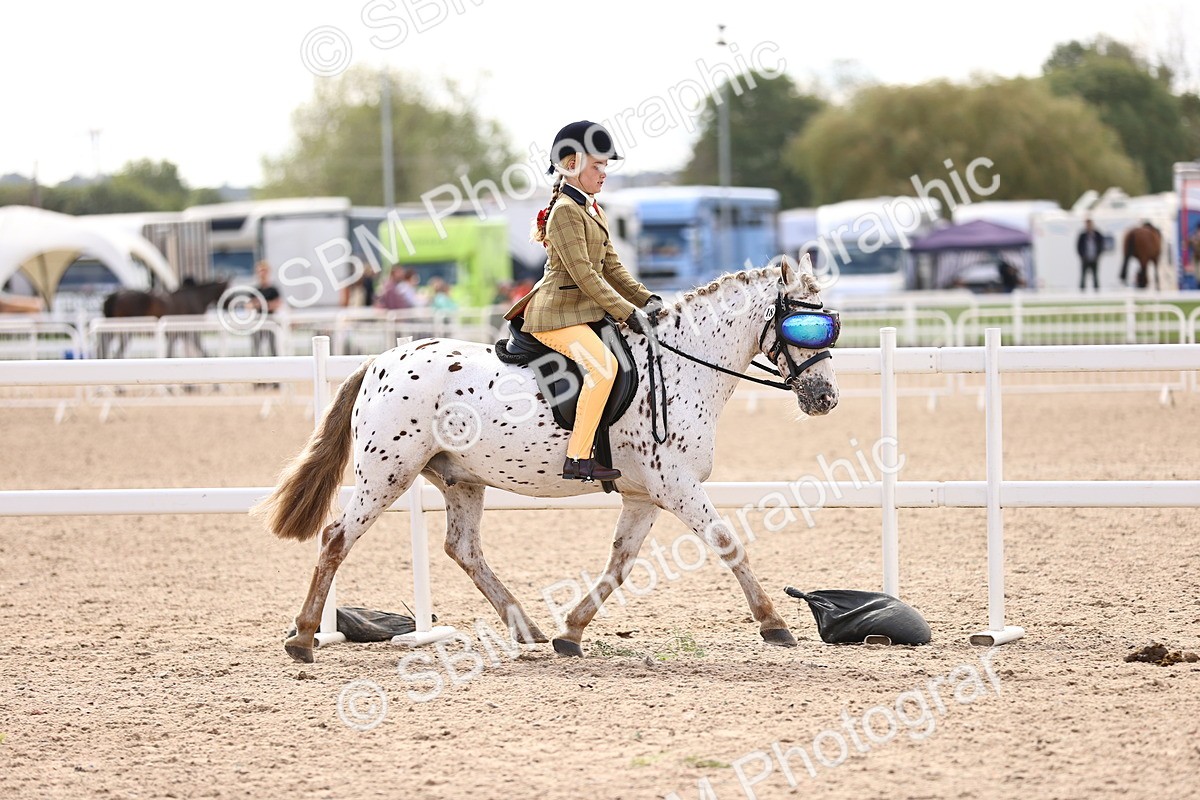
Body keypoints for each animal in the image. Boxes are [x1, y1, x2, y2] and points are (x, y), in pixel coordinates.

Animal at [254, 258, 840, 663]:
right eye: (802, 327)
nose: (824, 398)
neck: (680, 366)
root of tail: (381, 359)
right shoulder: (675, 484)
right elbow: (728, 544)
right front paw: (774, 624)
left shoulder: (643, 495)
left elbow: (619, 565)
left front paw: (570, 631)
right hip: (386, 472)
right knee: (336, 538)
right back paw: (303, 638)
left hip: (460, 479)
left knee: (463, 549)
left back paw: (528, 629)